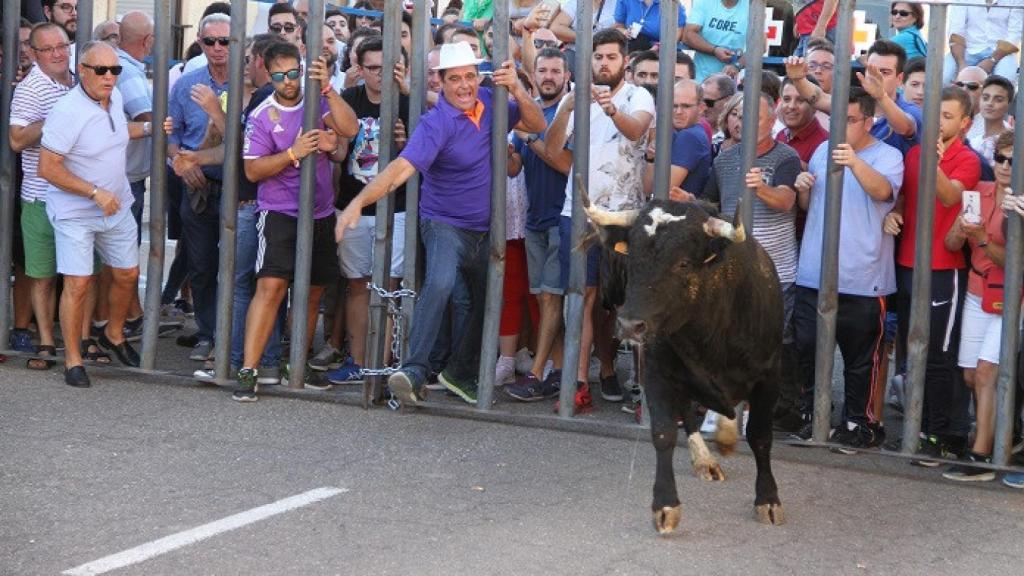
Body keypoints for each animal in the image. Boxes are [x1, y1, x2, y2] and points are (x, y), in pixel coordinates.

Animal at [581, 193, 786, 532]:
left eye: (683, 263)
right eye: (632, 260)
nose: (629, 325)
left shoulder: (769, 377)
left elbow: (760, 435)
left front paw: (768, 499)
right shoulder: (657, 372)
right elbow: (664, 432)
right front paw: (665, 506)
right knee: (689, 413)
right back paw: (706, 458)